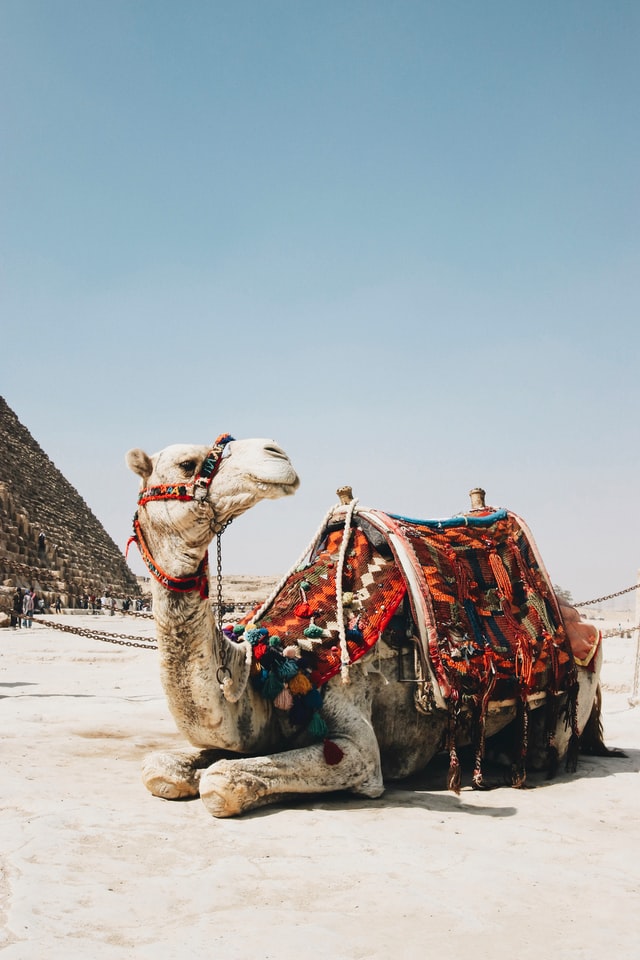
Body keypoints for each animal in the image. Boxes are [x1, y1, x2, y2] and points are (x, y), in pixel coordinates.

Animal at [125, 436, 608, 816]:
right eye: (188, 464)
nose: (274, 451)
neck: (275, 665)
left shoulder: (359, 746)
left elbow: (221, 782)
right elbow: (161, 768)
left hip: (574, 693)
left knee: (547, 748)